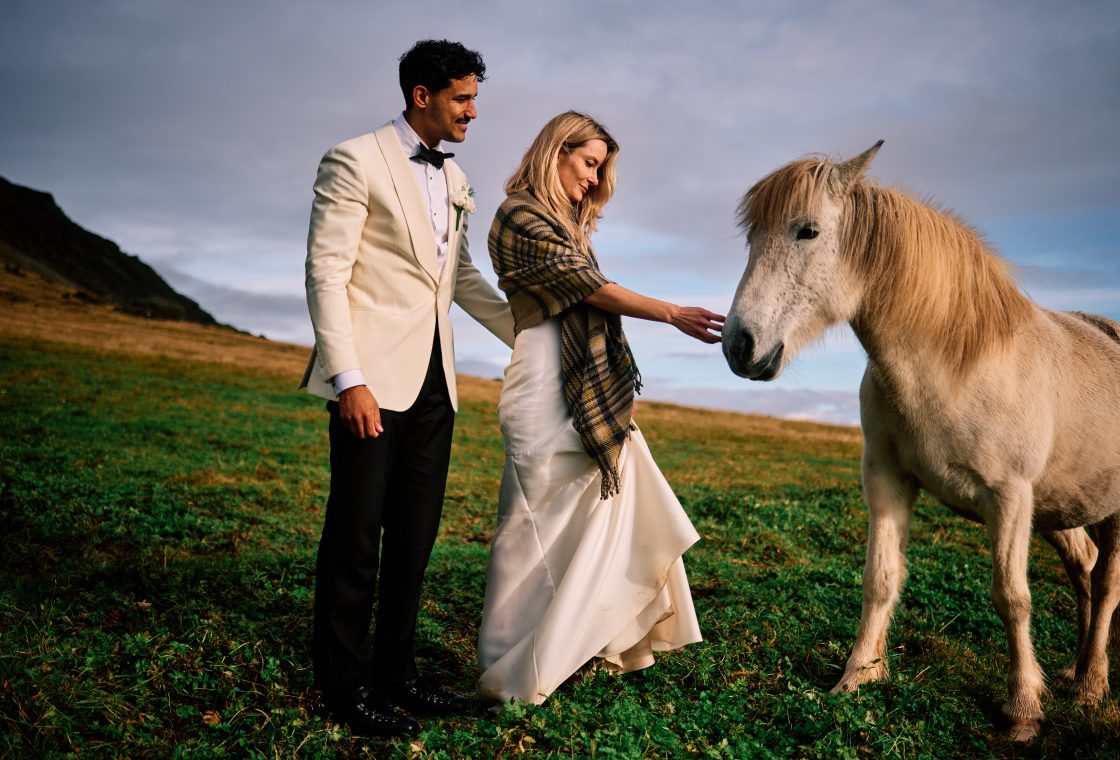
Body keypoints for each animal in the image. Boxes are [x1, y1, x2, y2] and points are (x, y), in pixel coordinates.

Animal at [721, 141, 1120, 742]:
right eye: (751, 239)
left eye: (807, 231)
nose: (739, 346)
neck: (957, 365)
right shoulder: (888, 482)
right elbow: (880, 578)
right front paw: (859, 676)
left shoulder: (1009, 499)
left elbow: (1012, 597)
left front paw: (1023, 710)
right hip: (1061, 511)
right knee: (1085, 573)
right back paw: (1073, 673)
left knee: (1107, 583)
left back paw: (1092, 685)